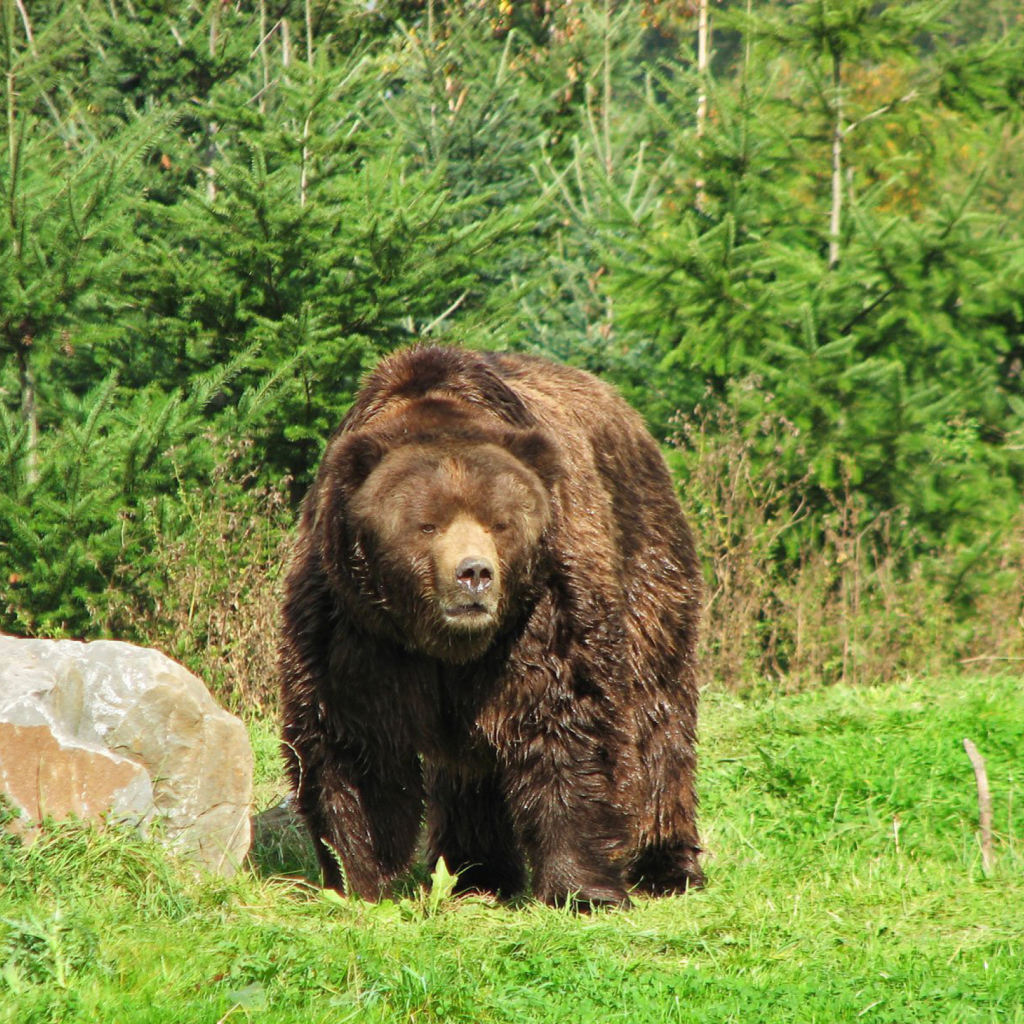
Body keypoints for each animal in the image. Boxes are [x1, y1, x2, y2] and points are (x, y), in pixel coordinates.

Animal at [280, 348, 704, 909]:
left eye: (500, 522)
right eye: (427, 523)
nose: (475, 573)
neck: (445, 643)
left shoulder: (544, 607)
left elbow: (568, 719)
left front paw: (584, 890)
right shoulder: (351, 625)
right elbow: (351, 746)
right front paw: (360, 880)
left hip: (645, 548)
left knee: (656, 706)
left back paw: (666, 864)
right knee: (468, 771)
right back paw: (477, 871)